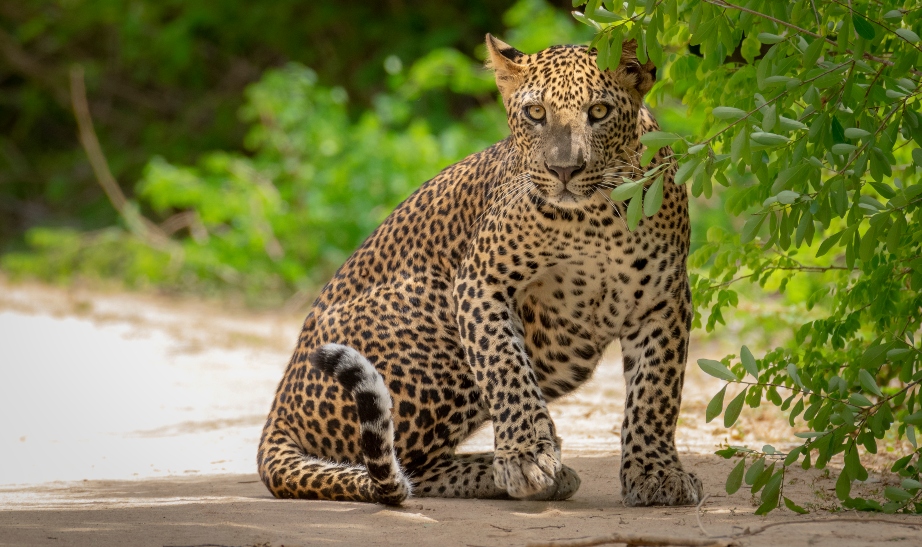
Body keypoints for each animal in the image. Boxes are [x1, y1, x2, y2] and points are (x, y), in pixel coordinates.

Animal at [257, 34, 703, 507]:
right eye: (536, 113)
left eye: (598, 111)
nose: (564, 170)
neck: (594, 218)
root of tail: (277, 410)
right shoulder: (480, 281)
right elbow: (504, 367)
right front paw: (526, 457)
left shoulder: (664, 299)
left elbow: (656, 391)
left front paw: (656, 473)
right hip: (433, 321)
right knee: (397, 463)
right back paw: (516, 473)